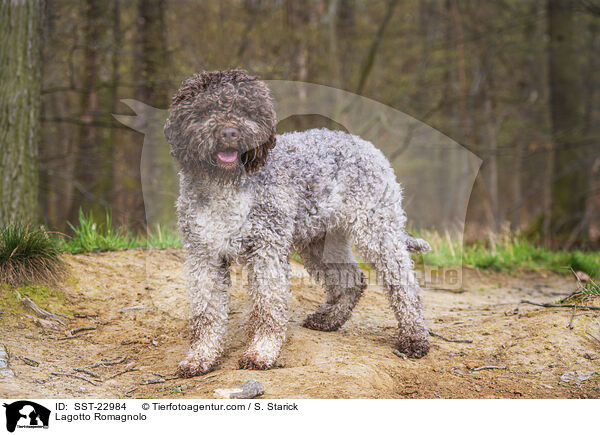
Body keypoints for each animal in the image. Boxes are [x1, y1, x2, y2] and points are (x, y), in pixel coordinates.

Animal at [163, 70, 432, 376]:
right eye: (206, 110)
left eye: (244, 111)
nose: (229, 133)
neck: (226, 184)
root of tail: (366, 146)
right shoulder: (204, 255)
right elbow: (205, 313)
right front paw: (201, 357)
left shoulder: (266, 250)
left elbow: (268, 306)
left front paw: (262, 352)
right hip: (320, 241)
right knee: (352, 279)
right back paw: (329, 319)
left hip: (377, 231)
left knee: (404, 285)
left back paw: (414, 338)